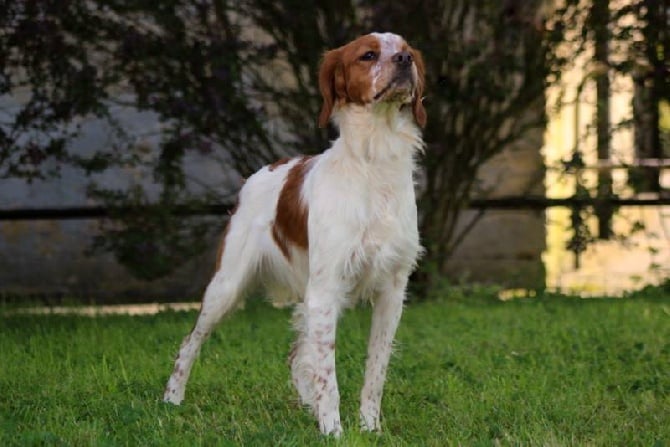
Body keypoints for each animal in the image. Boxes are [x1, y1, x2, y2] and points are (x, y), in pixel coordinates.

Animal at [164, 32, 426, 438]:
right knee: (189, 341)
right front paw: (333, 432)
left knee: (297, 355)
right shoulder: (325, 289)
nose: (403, 61)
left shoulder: (391, 292)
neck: (374, 164)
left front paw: (369, 427)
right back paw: (172, 400)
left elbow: (375, 370)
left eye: (407, 51)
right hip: (227, 285)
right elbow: (329, 376)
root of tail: (262, 170)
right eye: (367, 55)